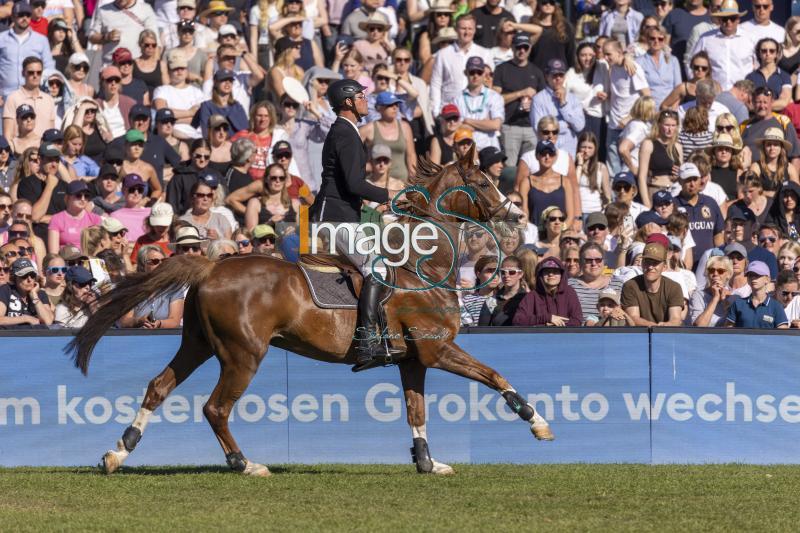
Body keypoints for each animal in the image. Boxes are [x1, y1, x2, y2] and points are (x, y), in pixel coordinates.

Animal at [69, 144, 552, 474]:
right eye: (484, 183)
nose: (515, 216)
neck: (422, 264)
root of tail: (211, 265)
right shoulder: (437, 350)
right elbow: (495, 376)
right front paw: (537, 423)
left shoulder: (414, 360)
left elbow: (417, 412)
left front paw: (428, 464)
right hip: (243, 354)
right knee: (215, 408)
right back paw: (245, 464)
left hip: (199, 344)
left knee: (159, 387)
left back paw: (117, 453)